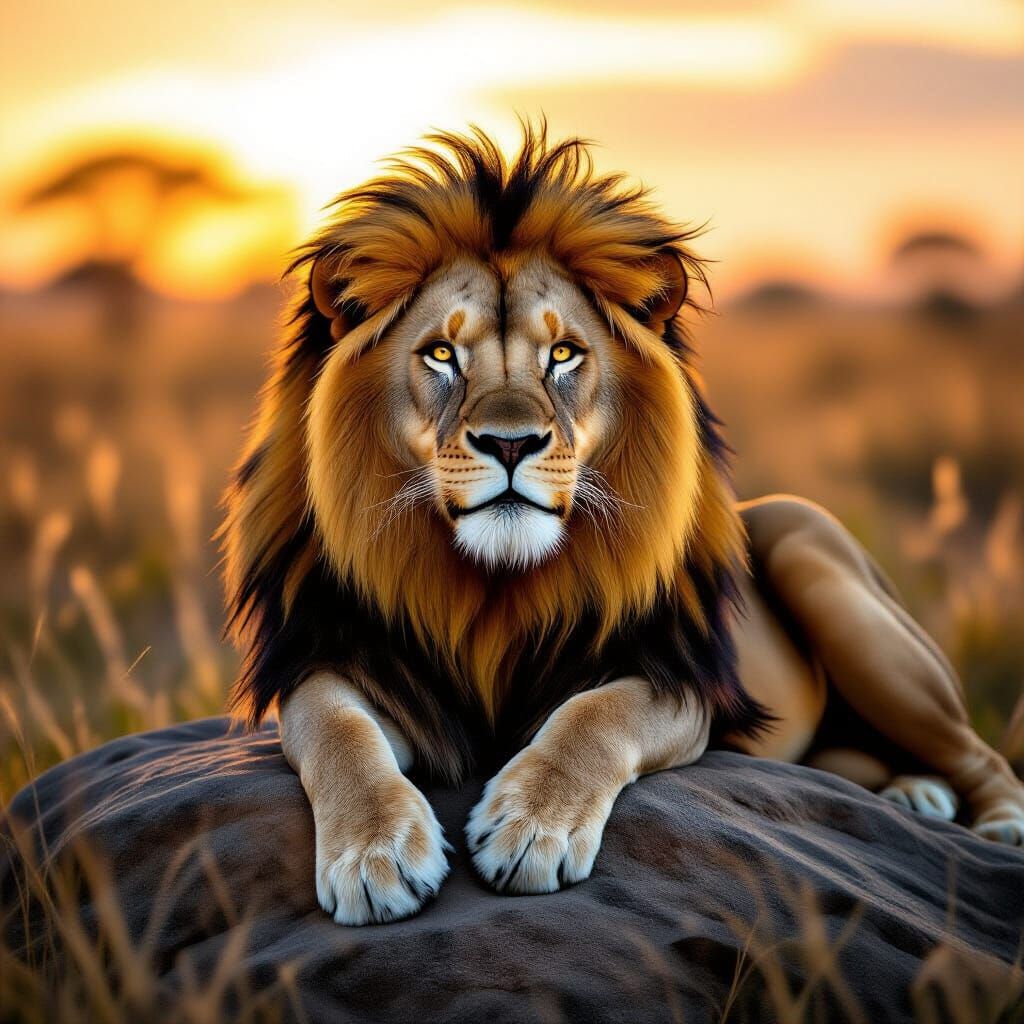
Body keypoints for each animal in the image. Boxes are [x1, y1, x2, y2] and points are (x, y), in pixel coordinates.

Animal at [221, 125, 1024, 926]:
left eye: (564, 354)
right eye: (442, 354)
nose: (510, 444)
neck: (492, 588)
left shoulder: (678, 680)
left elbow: (596, 716)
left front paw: (530, 828)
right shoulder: (338, 661)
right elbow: (338, 731)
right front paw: (374, 854)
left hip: (823, 565)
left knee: (980, 754)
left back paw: (990, 820)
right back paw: (914, 791)